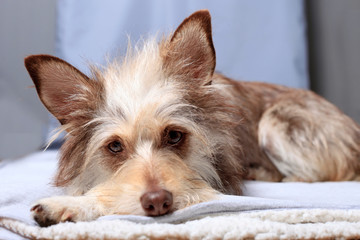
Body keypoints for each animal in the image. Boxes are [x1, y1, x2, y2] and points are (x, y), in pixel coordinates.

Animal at [25, 9, 360, 227]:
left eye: (174, 135)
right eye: (115, 147)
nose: (158, 202)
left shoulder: (207, 190)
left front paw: (70, 204)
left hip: (277, 124)